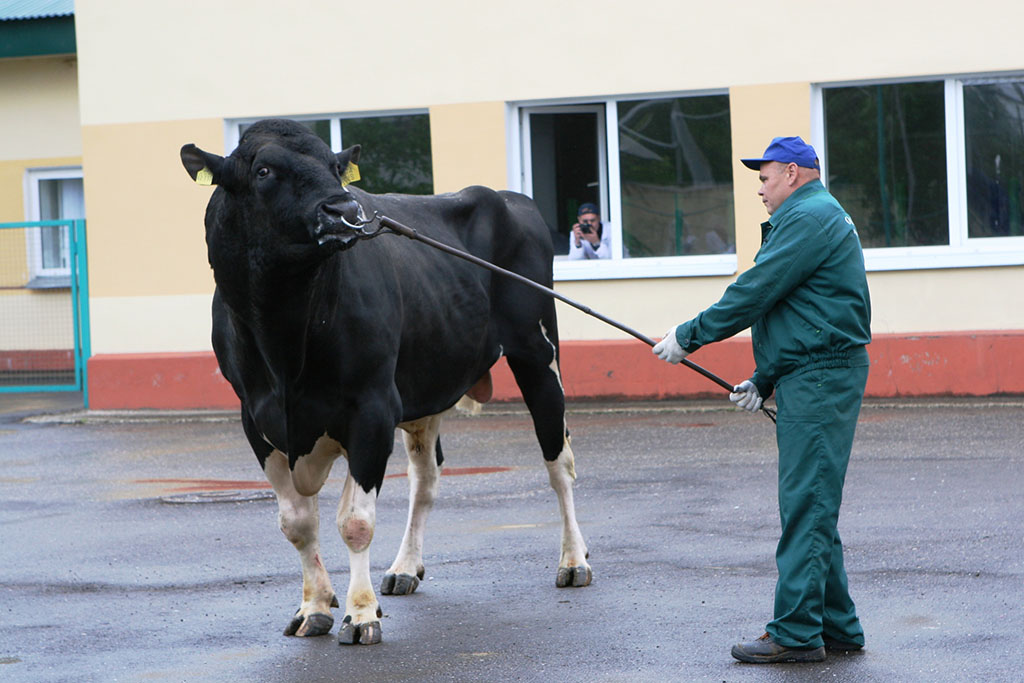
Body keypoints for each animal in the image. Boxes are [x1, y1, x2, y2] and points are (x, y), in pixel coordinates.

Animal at [180, 118, 589, 647]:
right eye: (264, 170)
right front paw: (314, 606)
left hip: (538, 353)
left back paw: (574, 559)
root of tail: (507, 196)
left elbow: (355, 521)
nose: (344, 209)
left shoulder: (370, 408)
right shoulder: (257, 420)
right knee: (426, 480)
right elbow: (297, 523)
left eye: (335, 166)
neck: (285, 342)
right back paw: (405, 567)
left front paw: (360, 614)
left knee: (559, 463)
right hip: (427, 385)